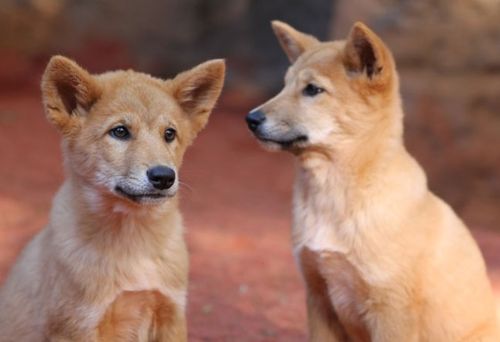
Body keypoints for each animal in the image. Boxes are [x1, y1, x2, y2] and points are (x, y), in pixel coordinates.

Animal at [0, 54, 225, 340]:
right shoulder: (78, 325)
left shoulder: (171, 314)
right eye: (120, 131)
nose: (164, 177)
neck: (133, 242)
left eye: (169, 134)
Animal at [247, 21, 500, 342]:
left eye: (313, 90)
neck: (333, 196)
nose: (251, 119)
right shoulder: (318, 297)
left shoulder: (390, 310)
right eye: (284, 85)